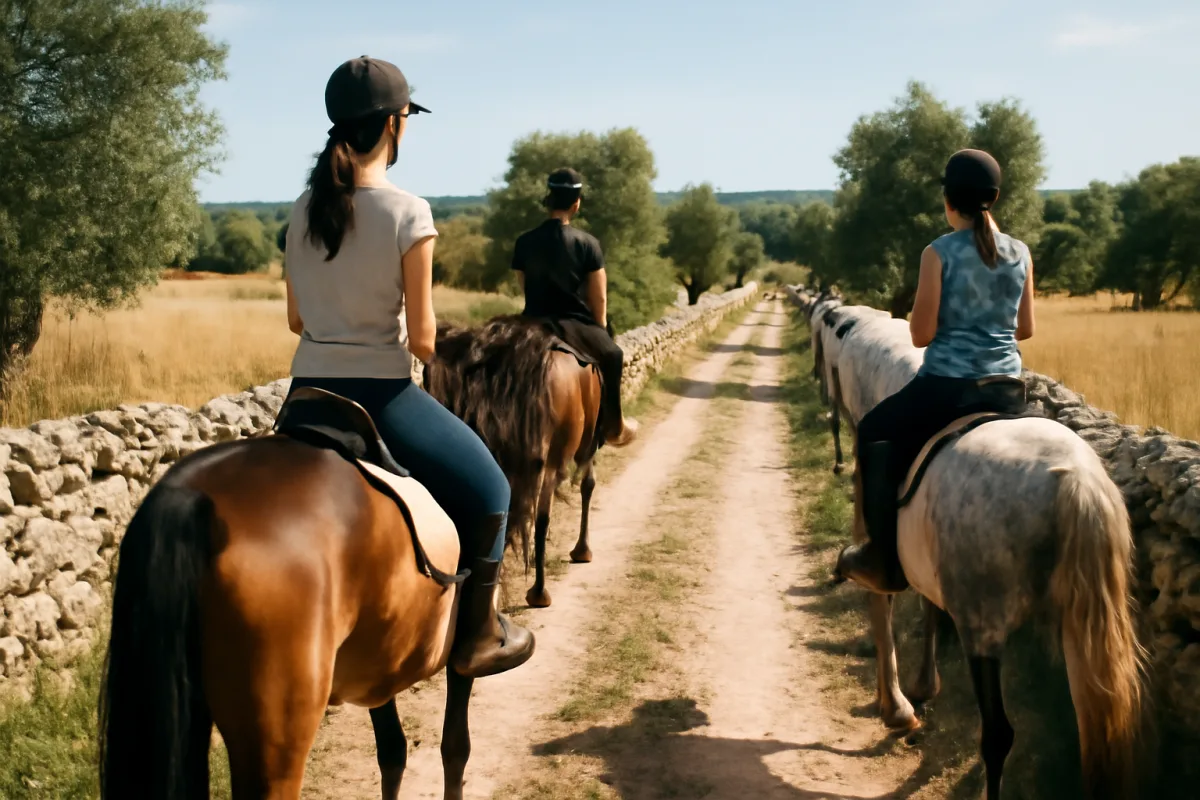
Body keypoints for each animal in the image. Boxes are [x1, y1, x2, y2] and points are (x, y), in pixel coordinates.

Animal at [99, 389, 486, 800]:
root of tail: (191, 495)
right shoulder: (458, 659)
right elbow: (455, 746)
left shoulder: (379, 664)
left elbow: (393, 752)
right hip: (277, 738)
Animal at [424, 315, 603, 609]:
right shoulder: (584, 446)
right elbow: (586, 486)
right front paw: (582, 550)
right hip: (551, 461)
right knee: (539, 520)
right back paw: (538, 593)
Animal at [798, 297, 1148, 800]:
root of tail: (1074, 480)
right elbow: (927, 607)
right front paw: (920, 689)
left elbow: (883, 603)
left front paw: (897, 706)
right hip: (1083, 634)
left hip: (984, 622)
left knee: (998, 733)